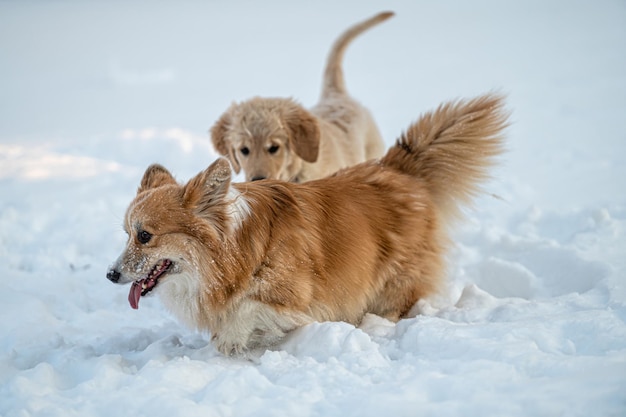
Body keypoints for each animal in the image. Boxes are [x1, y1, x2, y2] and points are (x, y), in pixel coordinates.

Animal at [107, 92, 508, 352]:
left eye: (145, 235)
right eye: (127, 234)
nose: (110, 274)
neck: (235, 250)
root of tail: (397, 166)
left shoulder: (297, 296)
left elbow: (246, 310)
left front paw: (233, 343)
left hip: (394, 283)